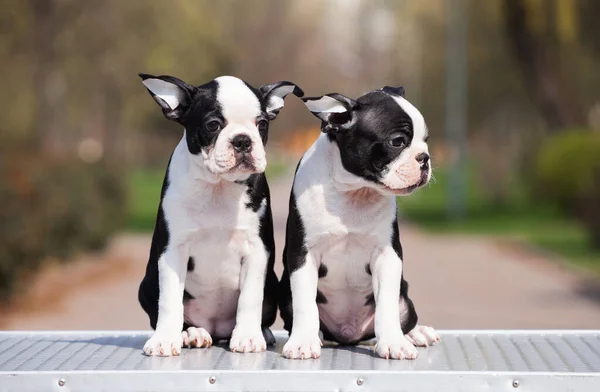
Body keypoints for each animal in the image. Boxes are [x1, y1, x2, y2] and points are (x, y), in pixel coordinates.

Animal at [138, 72, 302, 356]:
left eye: (261, 124)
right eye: (213, 125)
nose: (242, 140)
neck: (219, 187)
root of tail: (215, 328)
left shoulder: (257, 250)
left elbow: (250, 297)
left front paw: (247, 336)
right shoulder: (172, 251)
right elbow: (170, 299)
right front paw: (164, 340)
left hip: (272, 282)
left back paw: (261, 332)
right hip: (147, 283)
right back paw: (191, 333)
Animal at [278, 86, 438, 362]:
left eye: (425, 139)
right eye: (397, 142)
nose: (424, 158)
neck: (355, 192)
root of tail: (349, 335)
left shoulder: (387, 256)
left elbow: (387, 305)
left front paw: (394, 342)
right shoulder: (302, 255)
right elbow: (304, 304)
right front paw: (302, 342)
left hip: (405, 295)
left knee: (404, 315)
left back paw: (417, 332)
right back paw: (317, 335)